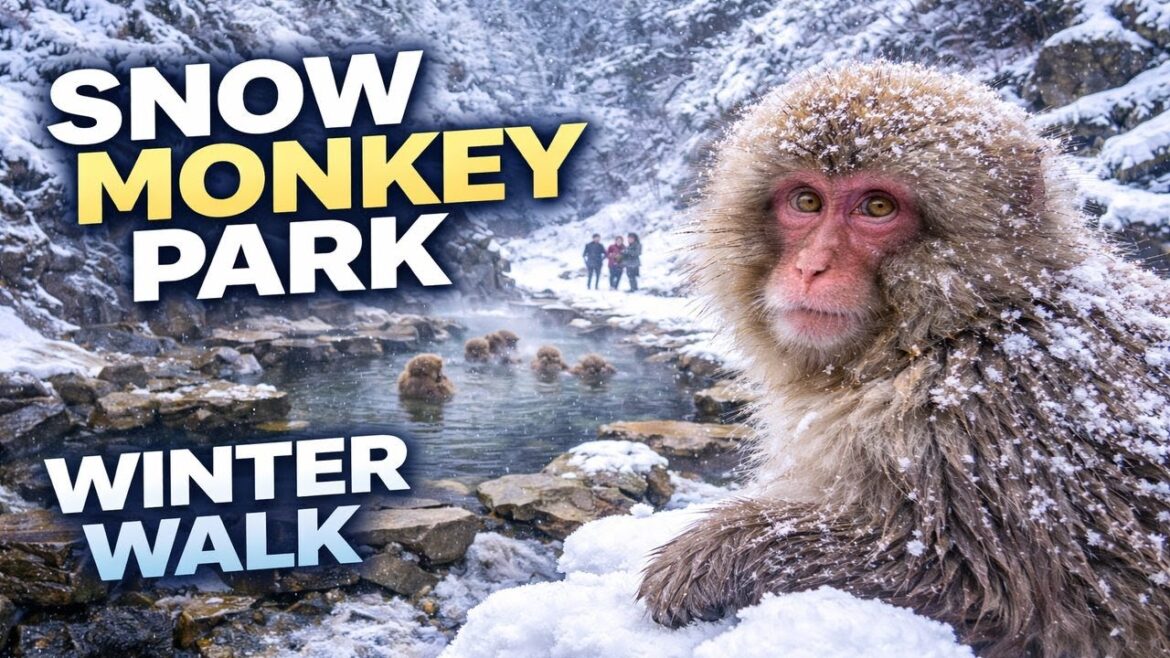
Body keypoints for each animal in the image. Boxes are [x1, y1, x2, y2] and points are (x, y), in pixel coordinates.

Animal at [636, 61, 1170, 658]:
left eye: (877, 207)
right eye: (806, 202)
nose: (810, 267)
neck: (957, 330)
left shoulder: (993, 422)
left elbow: (982, 588)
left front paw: (703, 560)